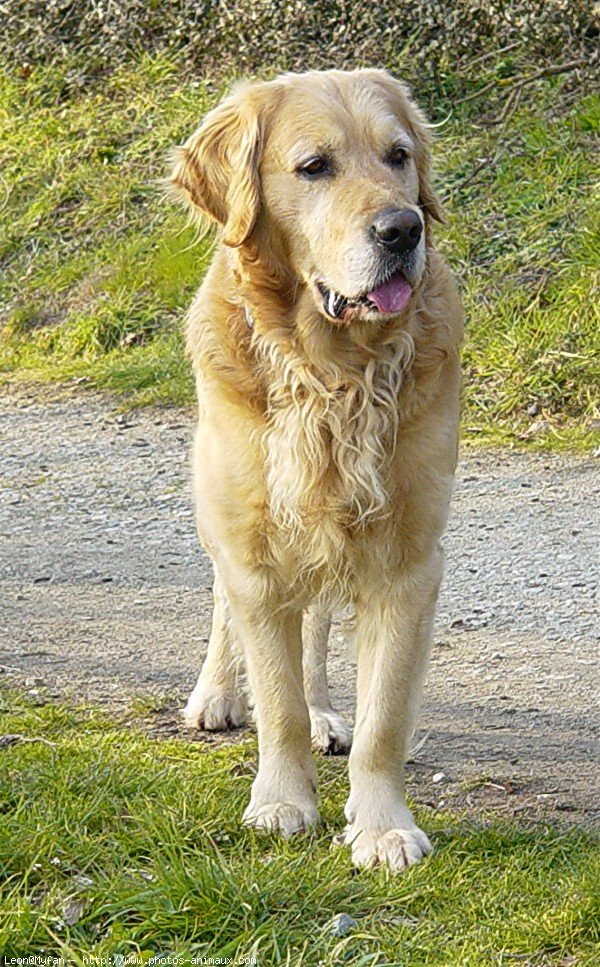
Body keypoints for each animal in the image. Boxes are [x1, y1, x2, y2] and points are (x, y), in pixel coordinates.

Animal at [169, 66, 464, 868]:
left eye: (398, 156)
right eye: (314, 167)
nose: (403, 229)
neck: (334, 370)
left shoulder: (407, 560)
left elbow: (383, 718)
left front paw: (381, 825)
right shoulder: (253, 547)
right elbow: (277, 703)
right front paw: (281, 802)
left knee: (317, 627)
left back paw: (328, 708)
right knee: (224, 604)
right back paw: (216, 692)